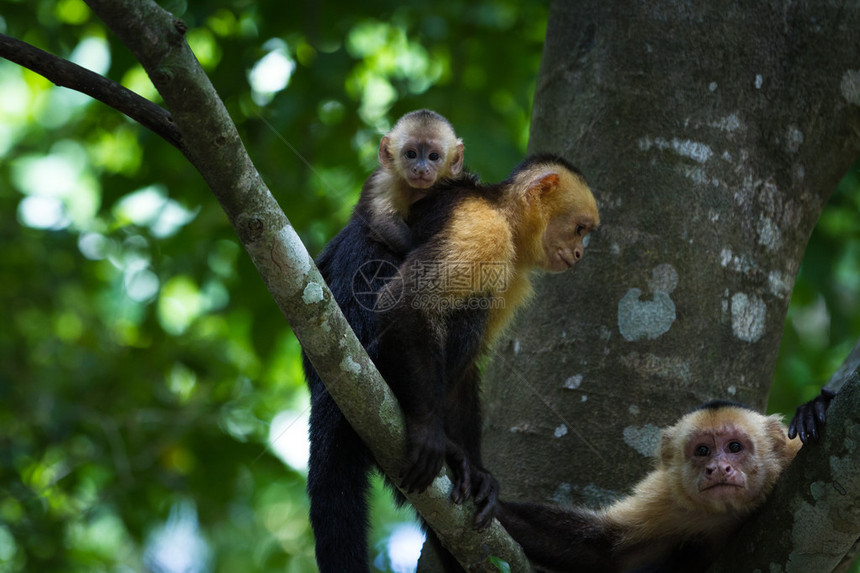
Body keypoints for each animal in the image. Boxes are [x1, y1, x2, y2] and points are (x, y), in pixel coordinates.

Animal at [306, 153, 600, 572]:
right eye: (578, 229)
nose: (578, 254)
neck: (504, 213)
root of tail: (324, 387)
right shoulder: (483, 229)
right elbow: (407, 304)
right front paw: (430, 433)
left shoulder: (511, 272)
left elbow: (467, 372)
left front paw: (479, 474)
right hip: (368, 361)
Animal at [498, 402, 808, 572]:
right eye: (703, 450)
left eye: (734, 447)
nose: (718, 468)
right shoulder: (668, 498)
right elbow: (604, 550)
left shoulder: (793, 453)